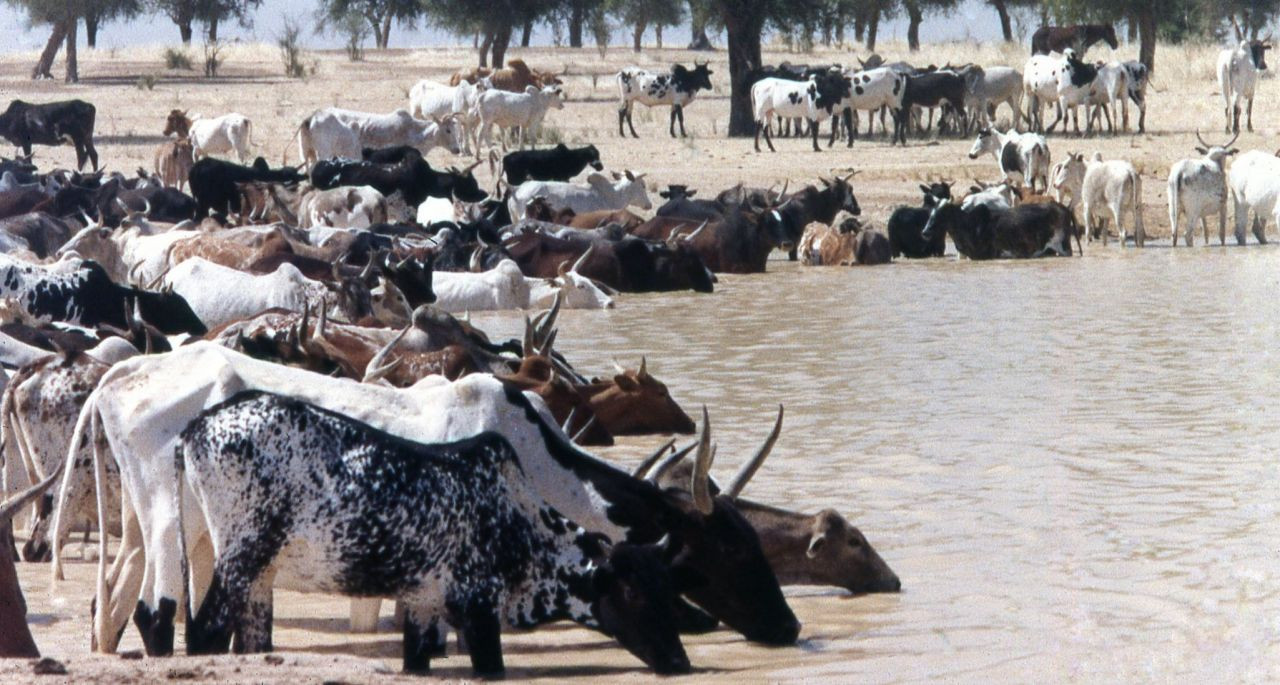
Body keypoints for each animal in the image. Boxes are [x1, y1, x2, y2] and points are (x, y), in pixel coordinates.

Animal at [177, 391, 691, 676]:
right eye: (633, 593)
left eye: (668, 588)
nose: (680, 663)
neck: (517, 523)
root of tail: (197, 427)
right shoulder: (479, 612)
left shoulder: (423, 610)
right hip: (238, 561)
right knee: (204, 631)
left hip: (257, 582)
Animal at [294, 107, 465, 167]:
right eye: (448, 130)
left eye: (456, 129)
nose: (457, 150)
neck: (414, 131)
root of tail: (311, 118)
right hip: (324, 153)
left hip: (307, 153)